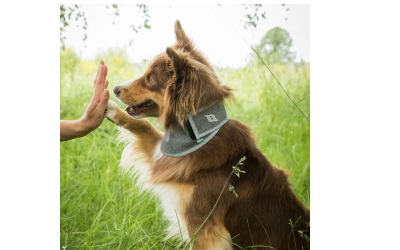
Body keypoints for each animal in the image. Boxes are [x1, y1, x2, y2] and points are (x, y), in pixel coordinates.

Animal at [105, 20, 310, 250]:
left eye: (150, 78)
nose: (116, 88)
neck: (198, 137)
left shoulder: (203, 227)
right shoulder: (165, 156)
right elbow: (144, 125)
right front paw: (111, 110)